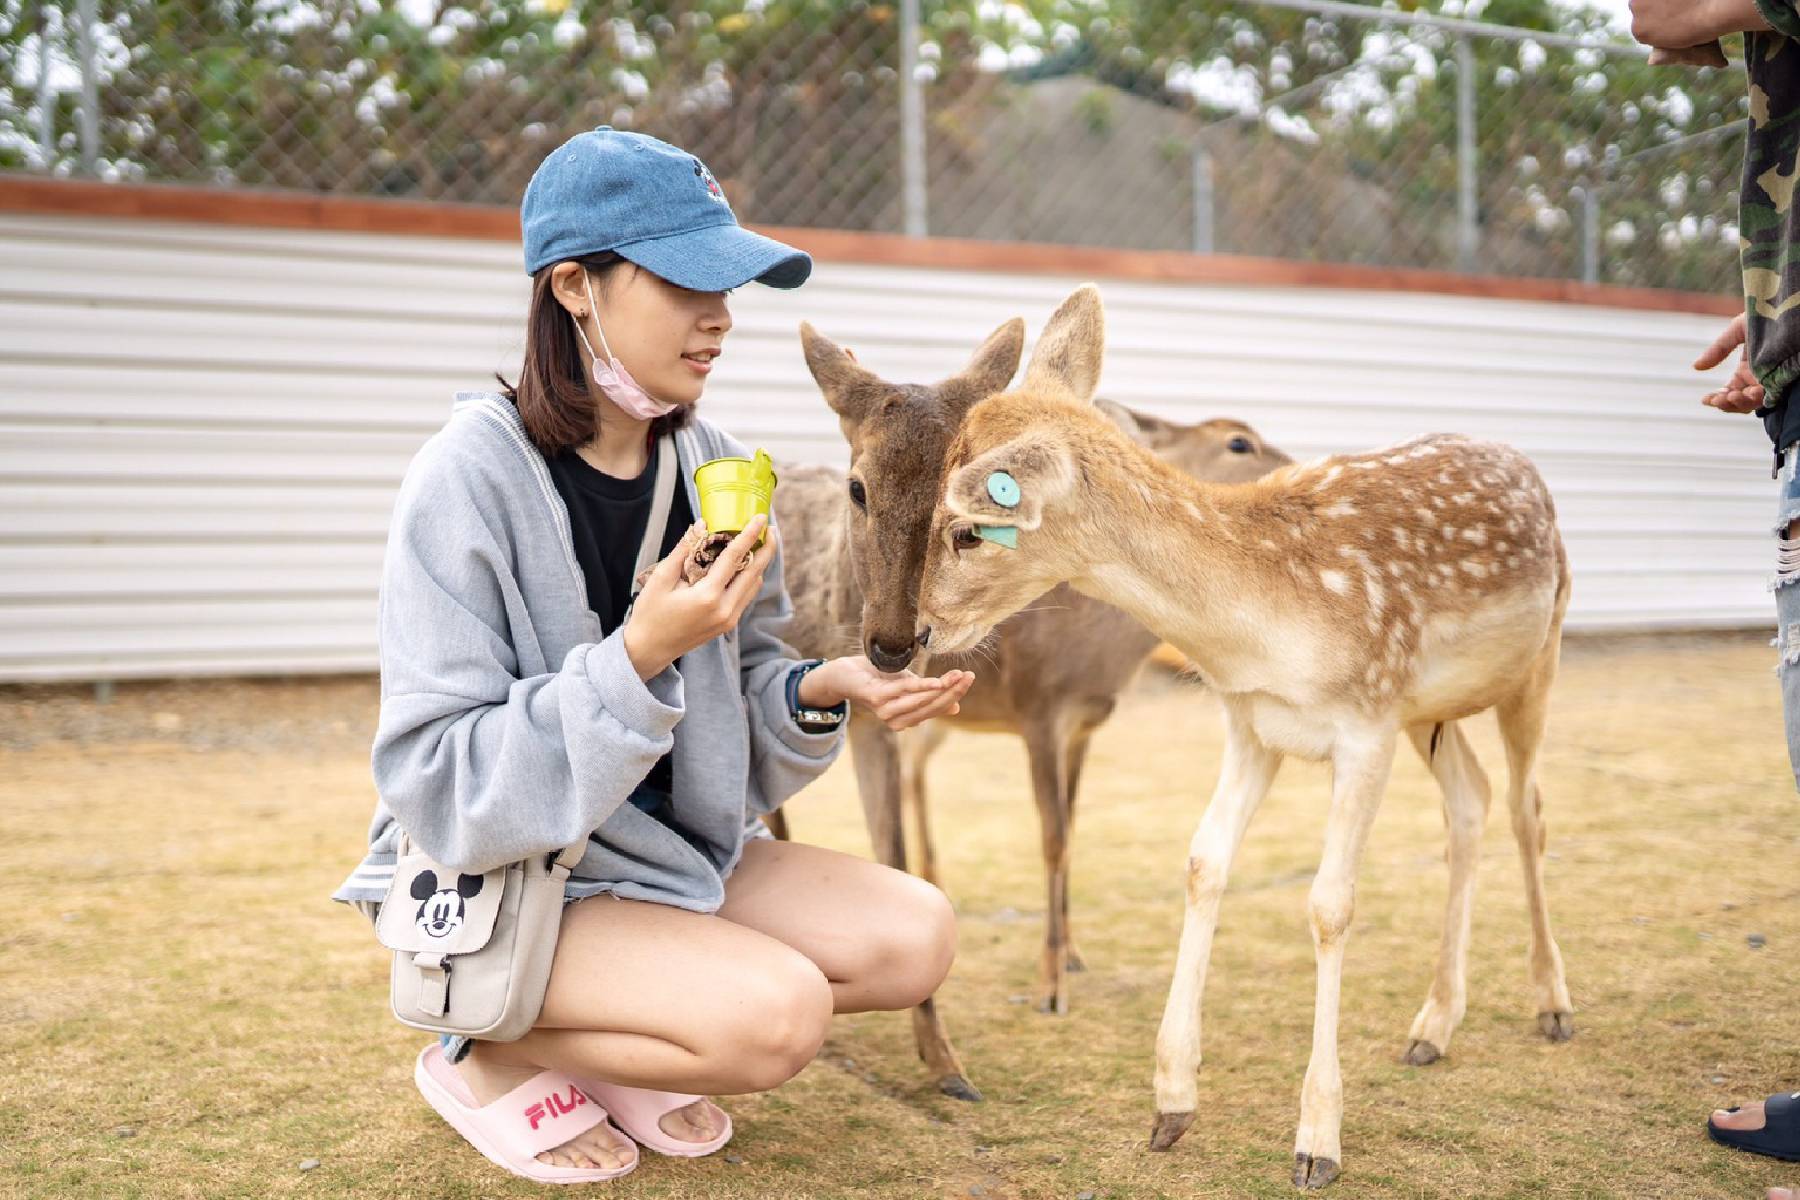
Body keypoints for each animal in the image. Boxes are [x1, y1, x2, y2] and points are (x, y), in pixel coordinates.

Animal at [766, 318, 1288, 1108]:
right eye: (1239, 442)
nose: (893, 643)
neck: (1108, 652)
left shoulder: (1083, 722)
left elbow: (1068, 831)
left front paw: (1068, 958)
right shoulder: (1038, 708)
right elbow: (1041, 839)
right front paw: (1010, 1015)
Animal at [914, 284, 1576, 1194]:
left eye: (969, 528)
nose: (913, 633)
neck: (1260, 628)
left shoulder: (1364, 725)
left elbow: (1331, 904)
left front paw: (1317, 1142)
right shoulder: (1252, 722)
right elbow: (1203, 864)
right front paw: (1170, 1107)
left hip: (1537, 656)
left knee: (1527, 807)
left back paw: (1552, 1005)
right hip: (1428, 710)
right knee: (1470, 803)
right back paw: (1433, 1026)